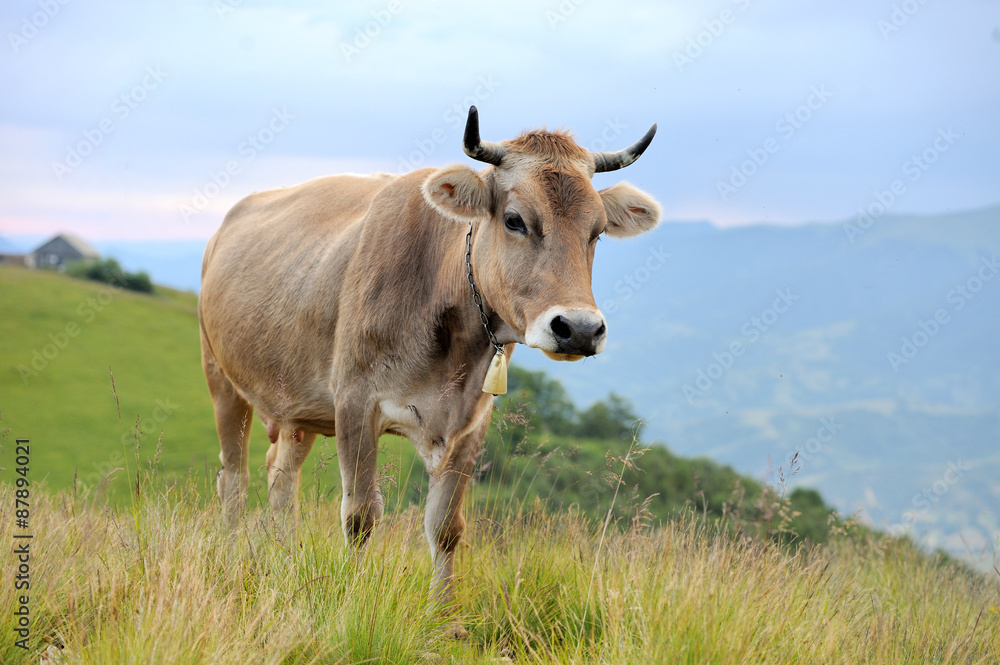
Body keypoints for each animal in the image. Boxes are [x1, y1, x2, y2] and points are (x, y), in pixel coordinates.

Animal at [198, 106, 660, 608]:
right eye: (514, 220)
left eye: (597, 231)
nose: (578, 328)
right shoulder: (355, 402)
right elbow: (360, 515)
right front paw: (355, 598)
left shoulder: (472, 421)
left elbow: (445, 528)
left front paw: (444, 613)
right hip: (221, 378)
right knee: (233, 479)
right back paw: (228, 556)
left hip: (297, 406)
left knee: (280, 477)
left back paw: (283, 555)